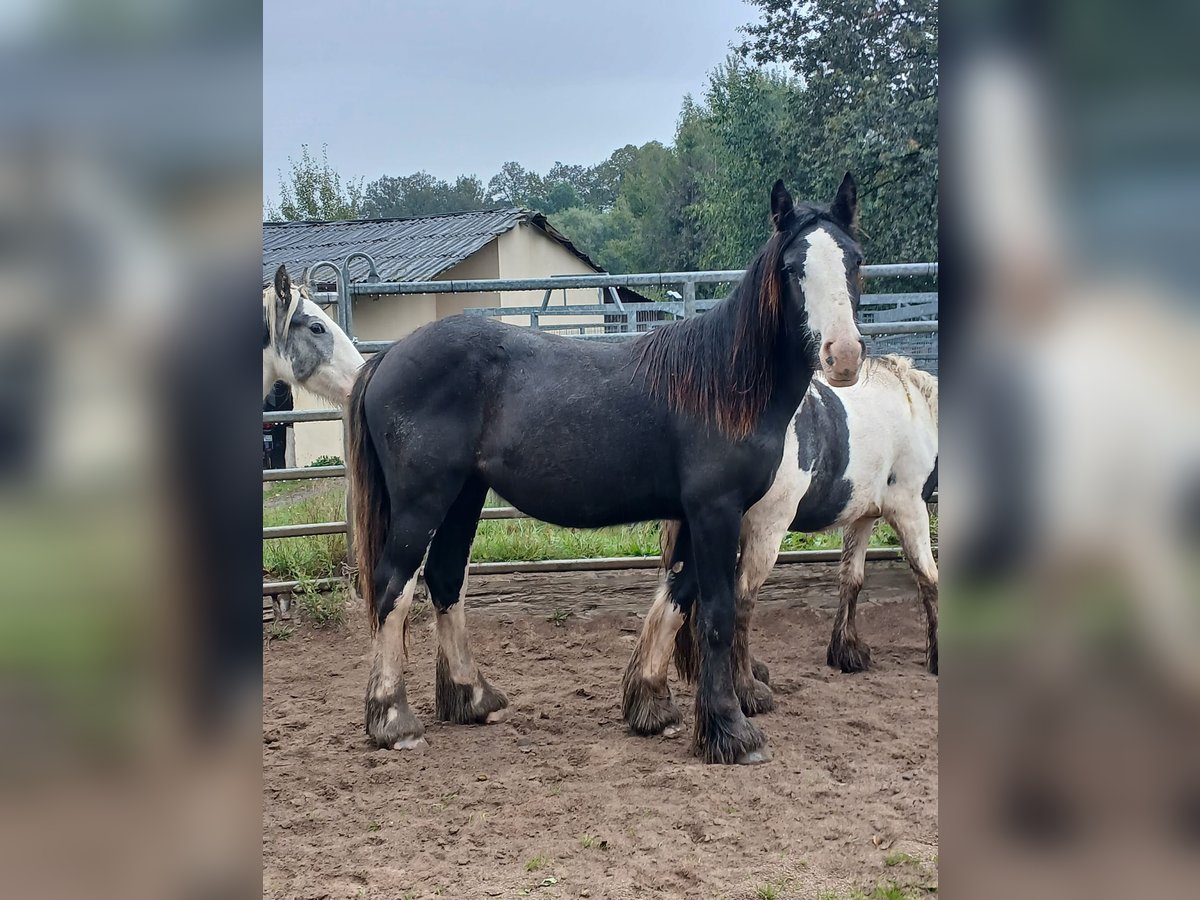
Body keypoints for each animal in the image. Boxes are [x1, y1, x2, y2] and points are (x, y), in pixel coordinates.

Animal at [345, 177, 864, 768]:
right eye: (793, 266)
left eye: (855, 259)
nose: (844, 355)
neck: (722, 386)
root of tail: (386, 357)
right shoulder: (717, 510)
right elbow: (716, 615)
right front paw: (731, 731)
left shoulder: (696, 514)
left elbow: (677, 597)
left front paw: (651, 706)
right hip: (423, 502)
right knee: (393, 587)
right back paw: (393, 720)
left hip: (464, 496)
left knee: (445, 579)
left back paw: (473, 698)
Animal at [624, 355, 940, 734]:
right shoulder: (909, 508)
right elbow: (929, 579)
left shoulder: (863, 516)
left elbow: (852, 579)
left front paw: (847, 651)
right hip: (766, 529)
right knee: (741, 599)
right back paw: (746, 690)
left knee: (674, 599)